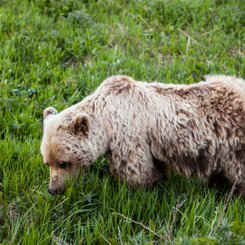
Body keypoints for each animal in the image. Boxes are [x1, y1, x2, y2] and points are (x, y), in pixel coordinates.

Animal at [40, 74, 245, 197]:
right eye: (47, 163)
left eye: (64, 163)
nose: (53, 190)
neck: (105, 119)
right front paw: (161, 179)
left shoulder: (127, 132)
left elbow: (135, 169)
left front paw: (141, 189)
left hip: (234, 145)